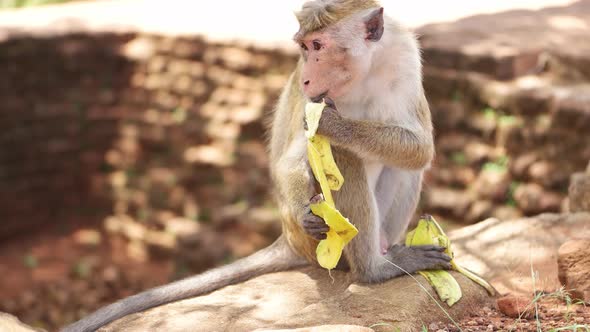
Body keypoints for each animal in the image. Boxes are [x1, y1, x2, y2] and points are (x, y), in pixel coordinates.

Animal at [62, 1, 450, 330]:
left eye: (319, 45)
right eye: (304, 48)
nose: (307, 77)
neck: (364, 72)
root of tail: (287, 238)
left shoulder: (403, 57)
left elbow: (420, 149)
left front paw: (337, 126)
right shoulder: (313, 100)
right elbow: (292, 159)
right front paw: (308, 197)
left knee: (401, 164)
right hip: (316, 245)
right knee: (346, 157)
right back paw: (374, 270)